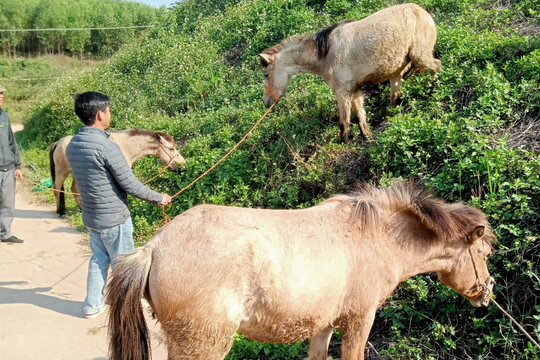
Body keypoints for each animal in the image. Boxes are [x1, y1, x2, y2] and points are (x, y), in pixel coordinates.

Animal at [50, 128, 186, 215]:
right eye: (171, 148)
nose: (183, 164)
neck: (125, 147)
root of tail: (58, 142)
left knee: (74, 190)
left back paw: (81, 210)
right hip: (61, 172)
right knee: (56, 189)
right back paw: (60, 211)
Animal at [104, 181, 494, 360]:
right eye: (485, 251)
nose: (488, 291)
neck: (377, 236)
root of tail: (153, 248)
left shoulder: (323, 325)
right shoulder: (359, 321)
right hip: (203, 345)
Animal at [260, 3, 440, 143]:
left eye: (266, 75)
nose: (266, 102)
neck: (325, 54)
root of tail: (422, 11)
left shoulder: (342, 93)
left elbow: (344, 122)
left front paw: (345, 144)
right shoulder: (354, 91)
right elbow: (360, 117)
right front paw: (367, 138)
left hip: (420, 57)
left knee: (437, 67)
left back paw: (436, 94)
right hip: (396, 72)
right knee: (395, 97)